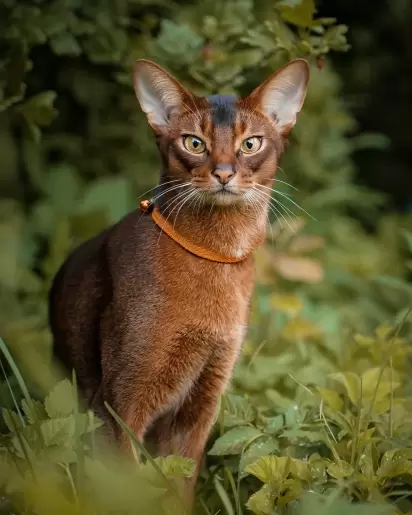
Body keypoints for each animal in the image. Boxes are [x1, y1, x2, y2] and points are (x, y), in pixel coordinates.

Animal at [48, 57, 308, 512]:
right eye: (194, 143)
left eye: (250, 144)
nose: (223, 173)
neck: (214, 258)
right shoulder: (117, 407)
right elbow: (128, 490)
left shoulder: (200, 404)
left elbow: (178, 489)